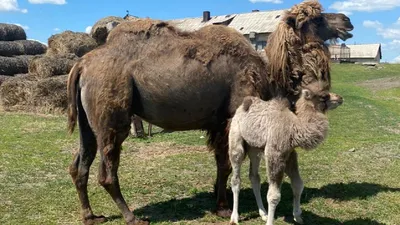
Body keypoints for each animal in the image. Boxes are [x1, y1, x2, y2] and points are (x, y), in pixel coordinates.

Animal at [228, 81, 344, 225]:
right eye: (323, 96)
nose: (340, 98)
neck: (294, 129)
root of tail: (242, 106)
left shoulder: (290, 153)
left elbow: (298, 184)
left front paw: (298, 216)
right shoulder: (275, 154)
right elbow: (274, 196)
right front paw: (270, 222)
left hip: (255, 147)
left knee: (254, 177)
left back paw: (263, 213)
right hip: (236, 138)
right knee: (236, 177)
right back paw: (235, 217)